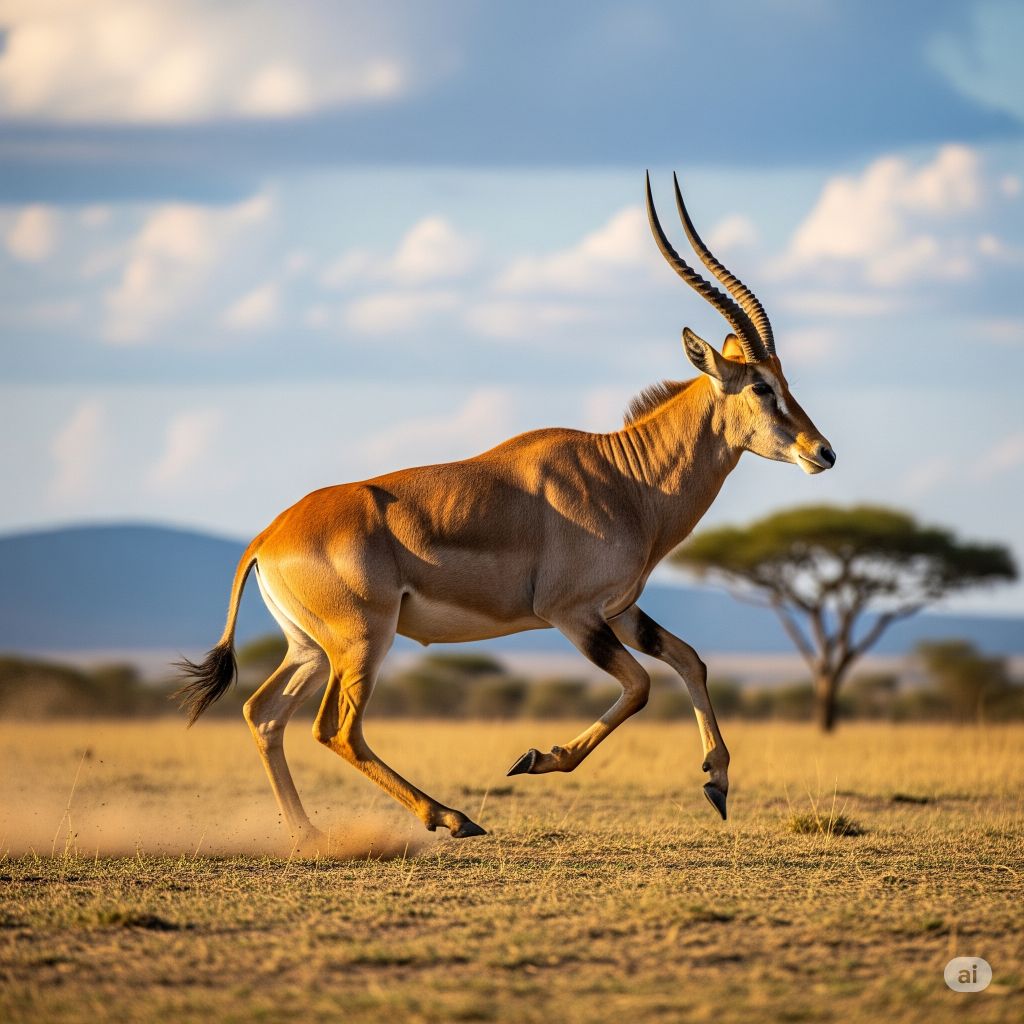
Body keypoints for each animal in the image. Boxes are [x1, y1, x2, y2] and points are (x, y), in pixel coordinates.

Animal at [176, 173, 836, 849]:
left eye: (784, 379)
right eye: (761, 385)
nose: (823, 452)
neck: (624, 477)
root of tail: (268, 536)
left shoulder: (619, 610)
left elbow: (690, 661)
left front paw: (717, 783)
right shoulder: (572, 614)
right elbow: (641, 685)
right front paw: (537, 758)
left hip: (310, 649)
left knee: (264, 715)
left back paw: (311, 835)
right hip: (362, 642)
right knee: (336, 728)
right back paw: (450, 817)